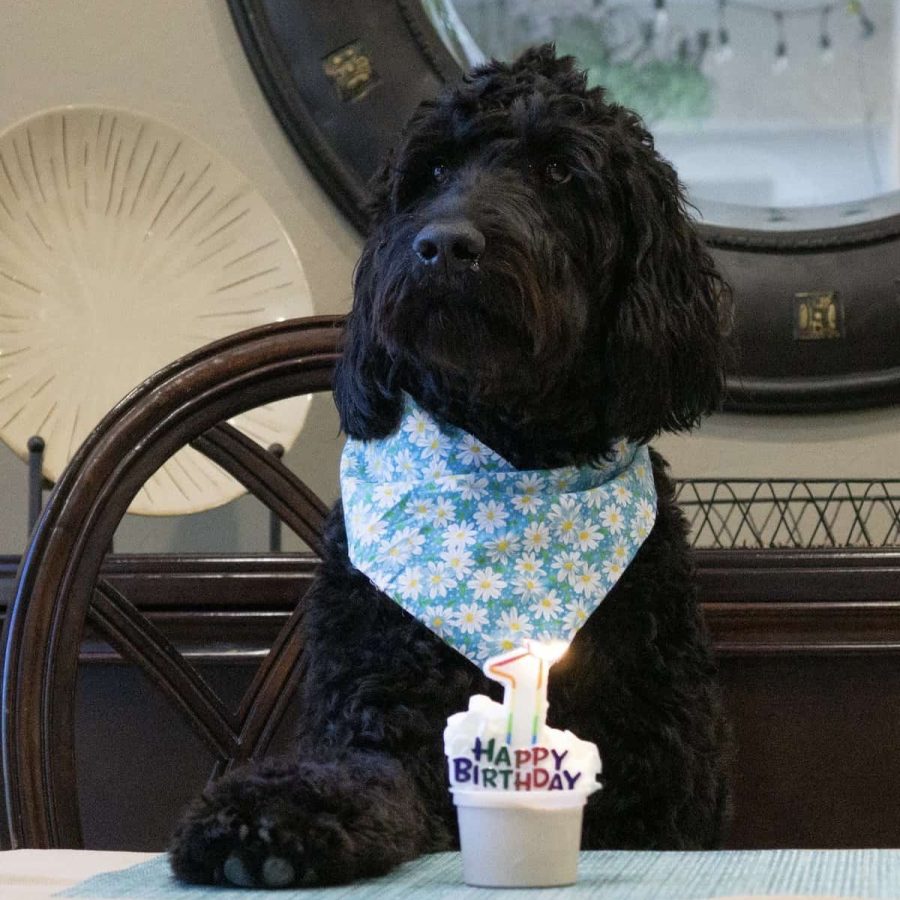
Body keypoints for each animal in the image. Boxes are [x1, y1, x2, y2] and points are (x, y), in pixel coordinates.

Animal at [169, 42, 732, 884]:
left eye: (560, 171)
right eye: (431, 172)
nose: (444, 245)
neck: (512, 455)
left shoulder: (665, 771)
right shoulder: (376, 708)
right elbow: (363, 772)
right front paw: (268, 815)